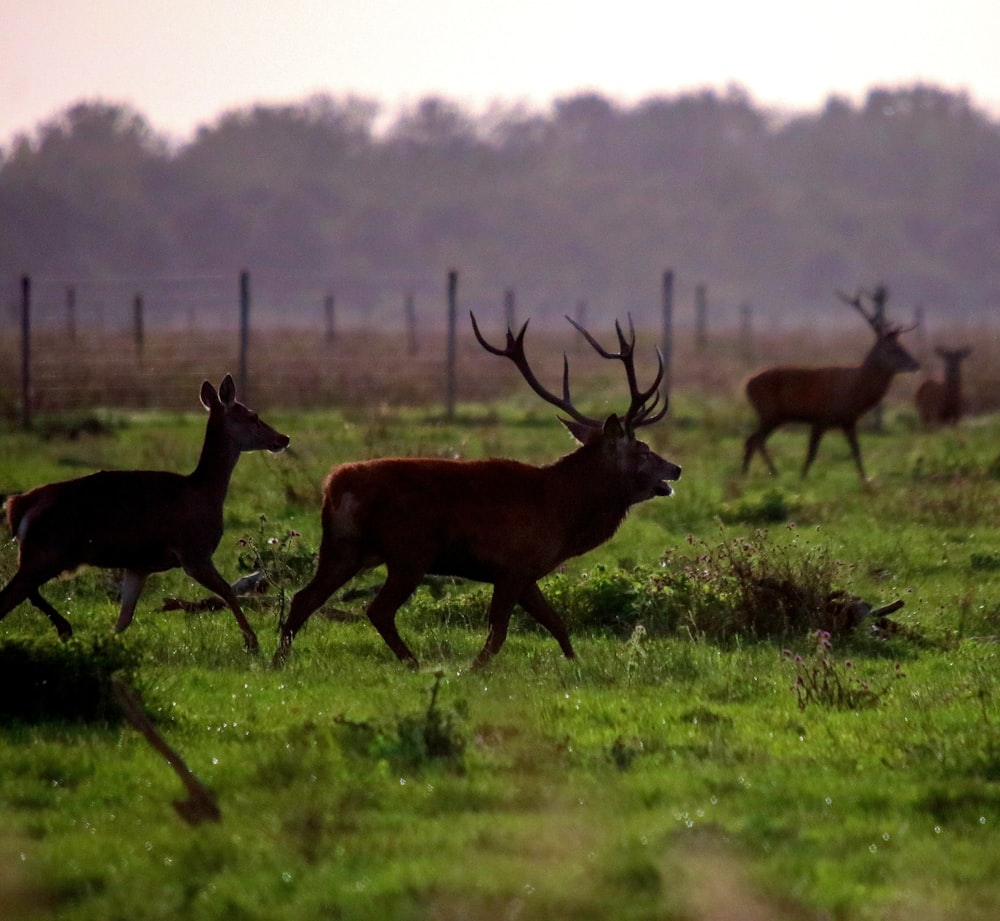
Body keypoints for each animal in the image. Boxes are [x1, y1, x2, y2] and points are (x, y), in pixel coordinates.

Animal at [0, 372, 290, 648]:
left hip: (42, 554)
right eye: (253, 416)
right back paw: (63, 628)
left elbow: (123, 619)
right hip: (47, 550)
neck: (206, 491)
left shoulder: (139, 565)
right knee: (8, 597)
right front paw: (252, 642)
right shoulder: (193, 552)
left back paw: (64, 628)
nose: (283, 437)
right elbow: (228, 591)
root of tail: (18, 504)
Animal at [274, 312, 680, 664]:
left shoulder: (527, 572)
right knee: (377, 609)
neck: (563, 515)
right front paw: (473, 670)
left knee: (302, 598)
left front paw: (575, 663)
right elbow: (499, 632)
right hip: (409, 549)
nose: (675, 468)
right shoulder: (513, 564)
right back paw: (413, 663)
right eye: (643, 450)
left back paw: (277, 661)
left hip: (344, 547)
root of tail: (335, 485)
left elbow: (557, 624)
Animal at [740, 288, 916, 482]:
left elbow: (856, 451)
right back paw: (767, 473)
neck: (856, 389)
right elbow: (811, 452)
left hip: (774, 416)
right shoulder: (821, 417)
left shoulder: (848, 421)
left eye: (903, 346)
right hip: (769, 412)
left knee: (753, 440)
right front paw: (802, 478)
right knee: (755, 440)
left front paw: (866, 482)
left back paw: (748, 474)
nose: (916, 363)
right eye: (893, 349)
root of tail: (747, 383)